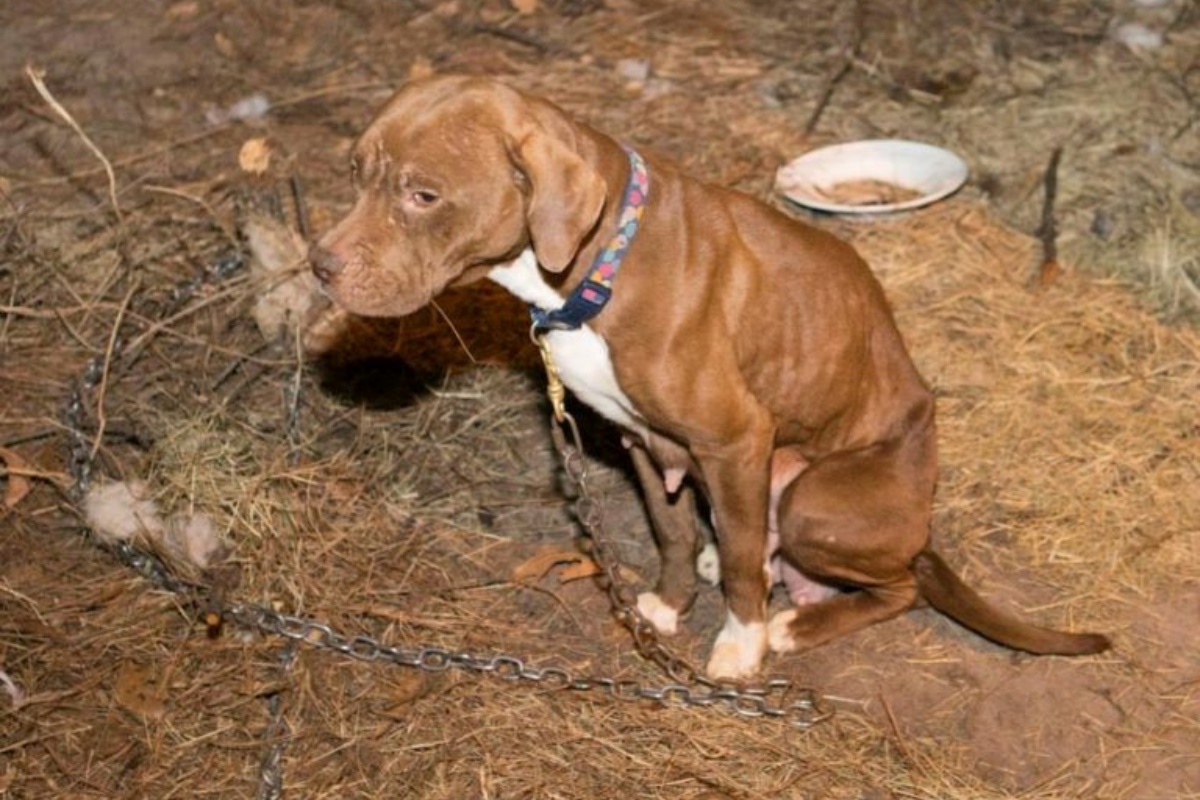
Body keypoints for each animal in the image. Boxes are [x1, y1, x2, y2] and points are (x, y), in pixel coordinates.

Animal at [309, 74, 1104, 681]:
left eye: (423, 195)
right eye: (353, 171)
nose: (320, 265)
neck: (598, 264)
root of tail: (921, 532)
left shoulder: (736, 440)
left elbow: (750, 566)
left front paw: (739, 646)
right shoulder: (641, 441)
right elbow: (671, 533)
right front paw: (668, 605)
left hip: (815, 500)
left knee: (894, 585)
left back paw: (794, 626)